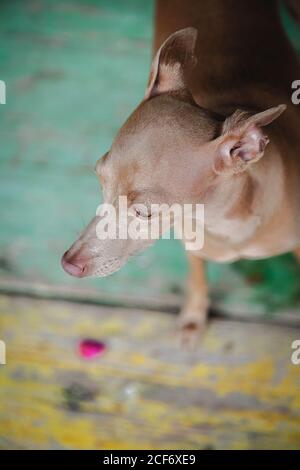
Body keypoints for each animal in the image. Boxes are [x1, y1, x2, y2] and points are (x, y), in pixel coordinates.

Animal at [61, 0, 300, 346]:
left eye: (144, 212)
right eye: (99, 177)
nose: (68, 264)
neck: (226, 227)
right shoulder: (191, 237)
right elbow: (197, 275)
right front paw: (193, 316)